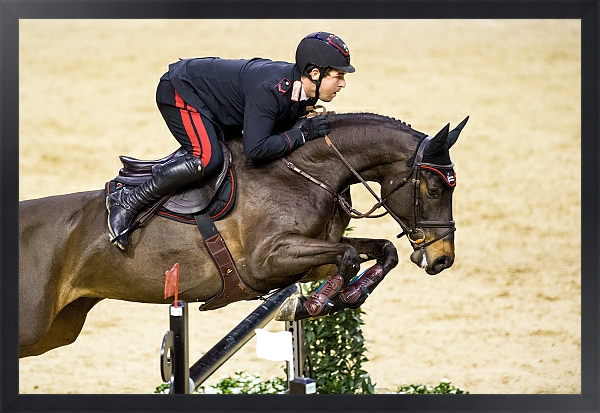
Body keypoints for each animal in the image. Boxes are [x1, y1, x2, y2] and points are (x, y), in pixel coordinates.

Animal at [18, 111, 466, 356]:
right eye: (433, 188)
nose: (442, 258)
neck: (306, 172)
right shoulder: (268, 261)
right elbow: (350, 257)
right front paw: (317, 303)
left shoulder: (310, 258)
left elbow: (381, 250)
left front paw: (348, 295)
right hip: (33, 328)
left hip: (56, 330)